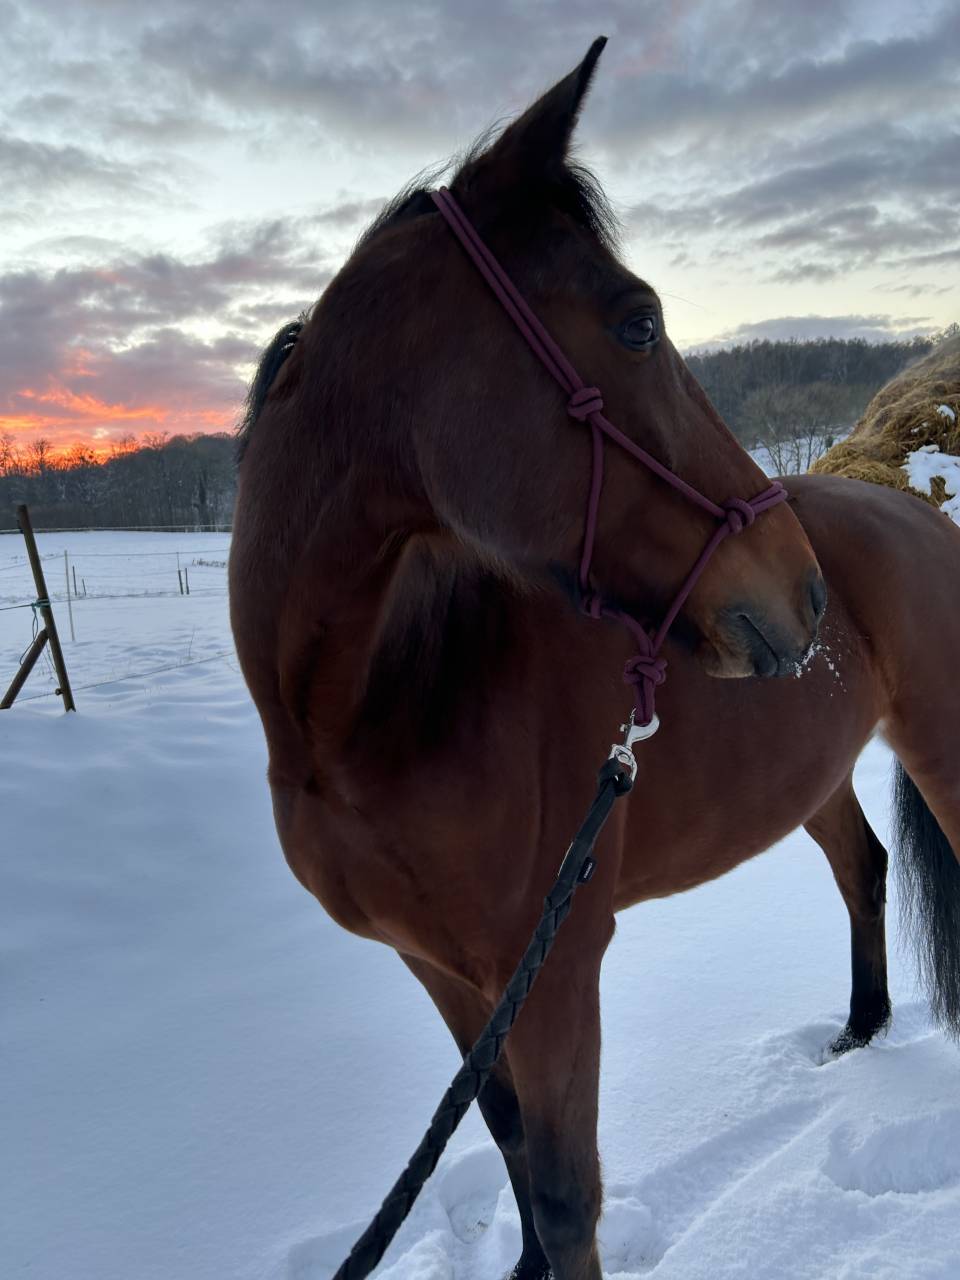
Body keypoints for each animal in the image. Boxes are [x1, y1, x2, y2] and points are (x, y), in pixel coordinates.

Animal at [229, 40, 960, 1280]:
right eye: (637, 323)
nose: (801, 589)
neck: (372, 711)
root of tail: (903, 499)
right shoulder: (445, 971)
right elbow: (510, 1135)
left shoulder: (561, 964)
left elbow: (571, 1191)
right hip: (808, 771)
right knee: (860, 864)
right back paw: (858, 1031)